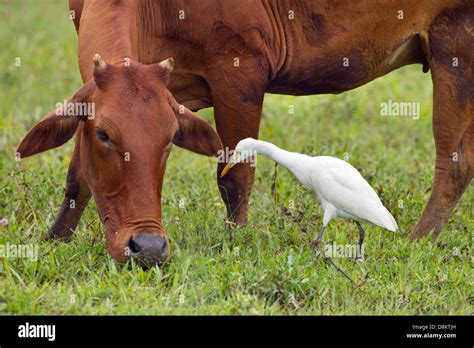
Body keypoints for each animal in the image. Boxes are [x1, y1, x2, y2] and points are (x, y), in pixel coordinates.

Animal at [16, 0, 472, 266]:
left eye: (168, 140)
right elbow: (78, 178)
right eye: (105, 136)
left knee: (455, 164)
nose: (147, 248)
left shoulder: (241, 71)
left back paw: (416, 243)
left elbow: (235, 177)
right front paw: (54, 241)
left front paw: (236, 242)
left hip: (455, 47)